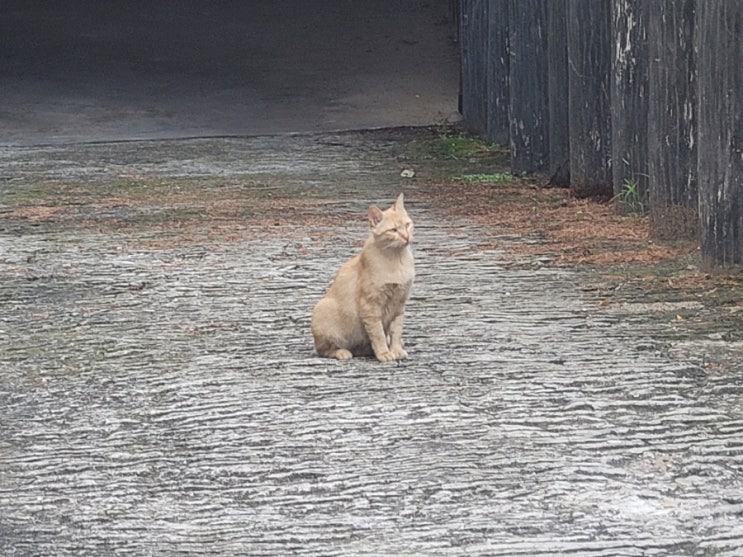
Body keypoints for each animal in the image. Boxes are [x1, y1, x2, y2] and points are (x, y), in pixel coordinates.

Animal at [311, 193, 414, 361]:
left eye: (407, 225)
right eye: (393, 230)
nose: (406, 237)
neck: (396, 259)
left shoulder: (399, 305)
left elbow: (396, 332)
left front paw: (396, 349)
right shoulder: (370, 307)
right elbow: (378, 334)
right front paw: (384, 353)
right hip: (323, 308)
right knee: (324, 350)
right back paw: (342, 352)